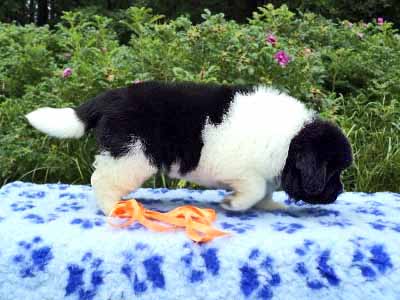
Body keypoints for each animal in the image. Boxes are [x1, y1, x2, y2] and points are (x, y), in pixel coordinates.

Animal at [25, 81, 352, 214]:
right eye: (332, 171)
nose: (338, 192)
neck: (290, 141)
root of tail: (111, 96)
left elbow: (266, 191)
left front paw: (269, 205)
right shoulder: (244, 172)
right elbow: (255, 189)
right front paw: (233, 204)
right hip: (132, 155)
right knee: (100, 179)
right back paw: (112, 207)